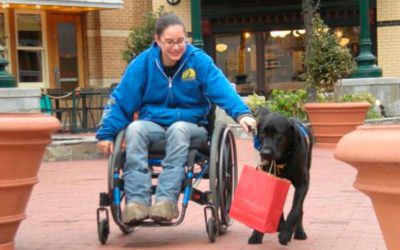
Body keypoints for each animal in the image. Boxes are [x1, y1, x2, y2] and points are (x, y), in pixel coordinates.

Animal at [248, 106, 314, 245]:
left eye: (278, 134)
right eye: (262, 133)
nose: (265, 153)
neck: (282, 159)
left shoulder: (302, 184)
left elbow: (295, 210)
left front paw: (286, 233)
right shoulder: (271, 180)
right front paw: (257, 234)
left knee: (300, 209)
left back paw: (299, 231)